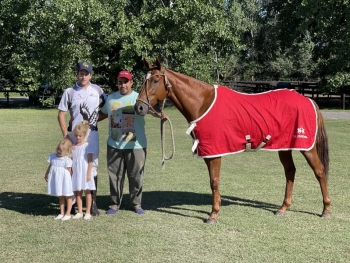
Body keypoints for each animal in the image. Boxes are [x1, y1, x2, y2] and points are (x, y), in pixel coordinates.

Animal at [135, 58, 330, 225]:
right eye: (144, 80)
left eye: (155, 81)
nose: (139, 107)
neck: (202, 103)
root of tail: (308, 99)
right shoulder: (209, 152)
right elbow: (212, 181)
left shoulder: (215, 152)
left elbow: (214, 181)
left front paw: (213, 215)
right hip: (283, 146)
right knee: (290, 171)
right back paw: (283, 208)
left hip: (306, 147)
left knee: (319, 171)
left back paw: (326, 209)